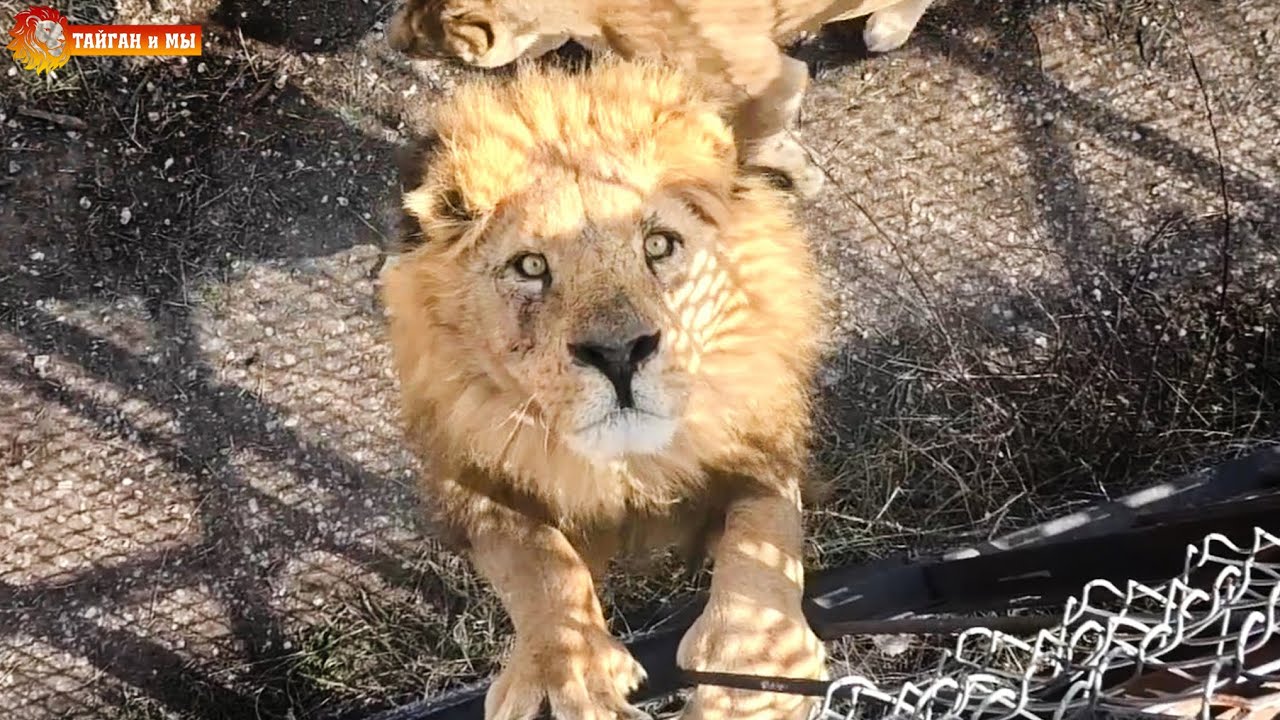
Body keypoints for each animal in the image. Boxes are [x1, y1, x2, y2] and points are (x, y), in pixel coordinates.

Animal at [380, 57, 831, 720]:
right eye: (531, 266)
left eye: (658, 245)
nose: (618, 354)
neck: (628, 465)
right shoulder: (477, 481)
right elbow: (538, 558)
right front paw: (563, 670)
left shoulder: (755, 444)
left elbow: (765, 529)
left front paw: (756, 659)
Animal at [384, 0, 938, 198]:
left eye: (425, 40)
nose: (393, 38)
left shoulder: (770, 79)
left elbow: (755, 141)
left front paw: (805, 178)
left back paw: (888, 26)